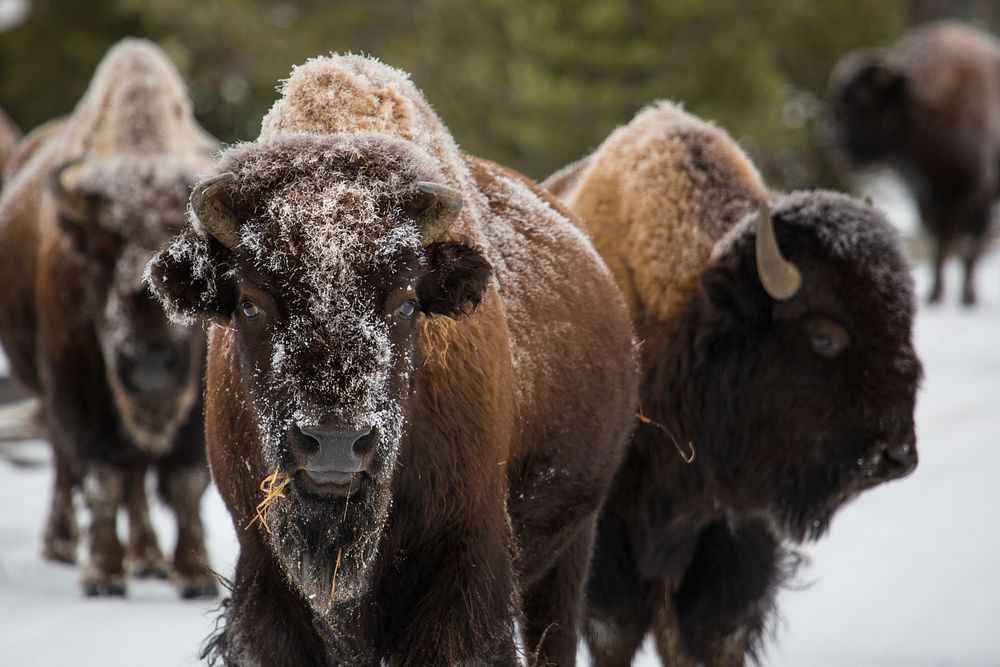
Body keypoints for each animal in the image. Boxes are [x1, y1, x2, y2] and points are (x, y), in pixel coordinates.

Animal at [0, 39, 219, 596]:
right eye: (98, 254)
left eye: (196, 256)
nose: (150, 367)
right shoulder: (78, 386)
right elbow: (101, 478)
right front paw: (102, 574)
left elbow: (185, 482)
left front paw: (194, 575)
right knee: (70, 462)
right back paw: (64, 544)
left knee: (137, 476)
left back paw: (148, 559)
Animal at [146, 54, 636, 664]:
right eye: (250, 304)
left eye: (405, 303)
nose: (334, 443)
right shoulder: (267, 582)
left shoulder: (464, 567)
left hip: (572, 546)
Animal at [548, 100, 920, 667]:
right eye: (824, 335)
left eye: (904, 320)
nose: (896, 455)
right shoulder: (608, 540)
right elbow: (616, 629)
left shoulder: (732, 535)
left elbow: (711, 633)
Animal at [824, 20, 1000, 308]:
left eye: (863, 101)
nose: (832, 143)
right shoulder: (926, 191)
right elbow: (939, 236)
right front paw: (935, 293)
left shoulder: (978, 190)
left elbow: (969, 245)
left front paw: (967, 296)